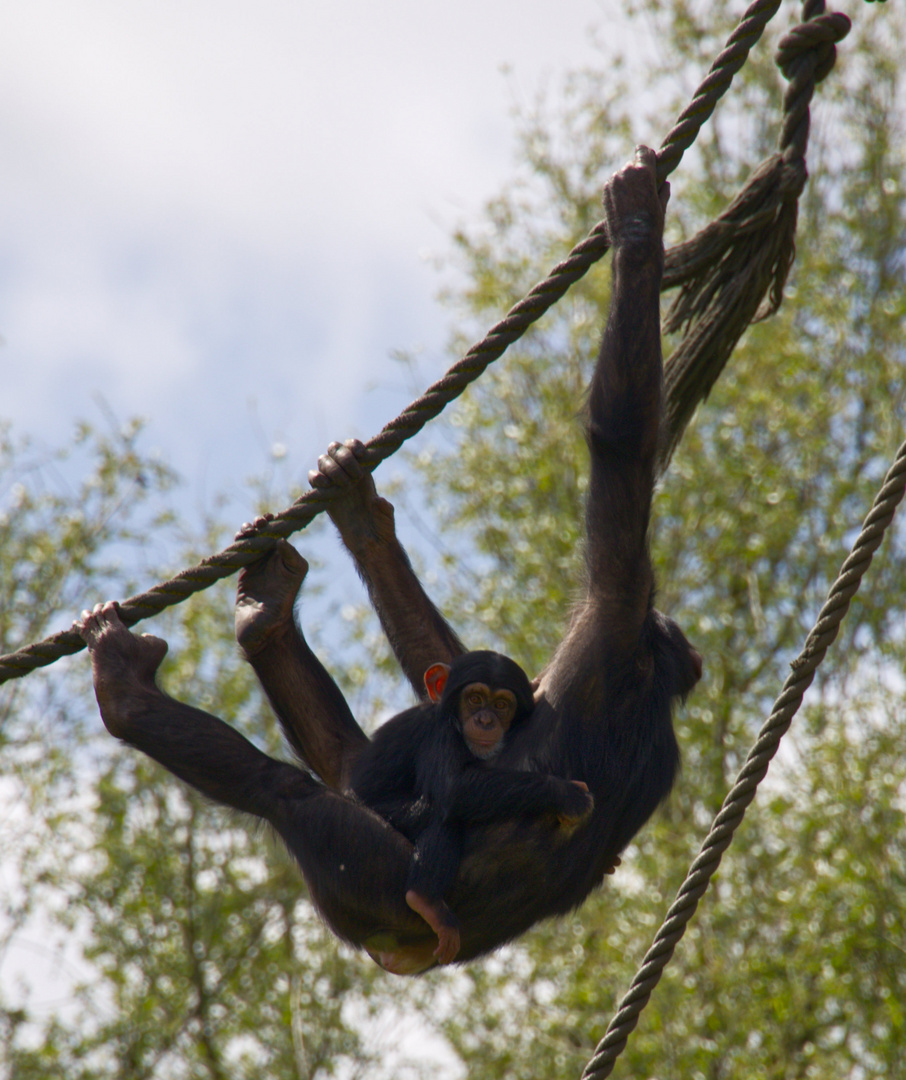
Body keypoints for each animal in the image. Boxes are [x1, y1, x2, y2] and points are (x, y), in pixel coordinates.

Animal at [349, 648, 596, 963]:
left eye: (501, 704)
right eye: (475, 699)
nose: (485, 720)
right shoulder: (438, 732)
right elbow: (453, 788)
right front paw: (565, 793)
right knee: (440, 818)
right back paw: (425, 900)